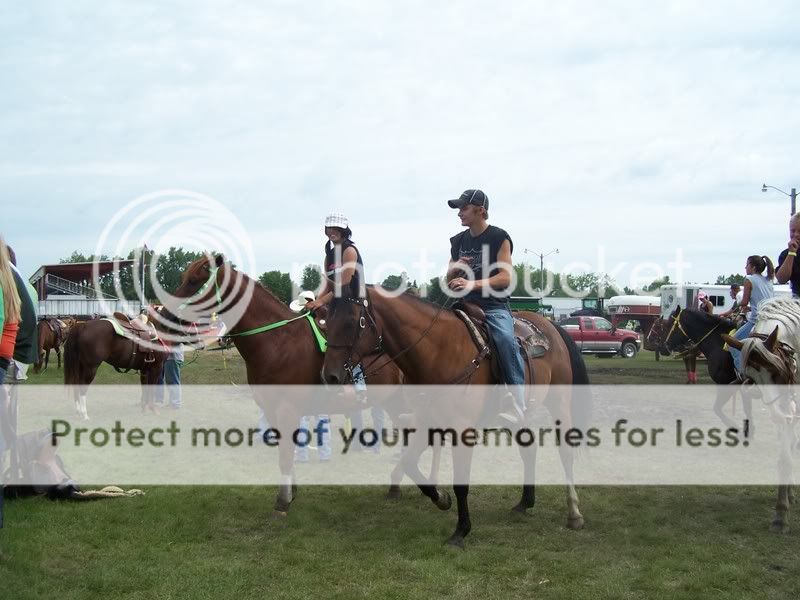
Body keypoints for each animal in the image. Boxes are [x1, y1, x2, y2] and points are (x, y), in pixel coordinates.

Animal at [158, 253, 418, 516]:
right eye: (183, 278)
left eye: (194, 281)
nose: (163, 320)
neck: (278, 342)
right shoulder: (272, 411)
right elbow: (287, 455)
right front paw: (291, 492)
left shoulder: (286, 410)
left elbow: (284, 457)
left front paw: (282, 501)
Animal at [316, 286, 592, 548]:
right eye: (327, 321)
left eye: (352, 322)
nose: (329, 376)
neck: (439, 351)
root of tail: (551, 327)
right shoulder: (426, 422)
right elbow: (409, 464)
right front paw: (442, 499)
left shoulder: (462, 430)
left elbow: (460, 484)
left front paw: (460, 532)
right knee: (529, 449)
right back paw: (524, 503)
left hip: (559, 403)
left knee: (565, 454)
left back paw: (575, 514)